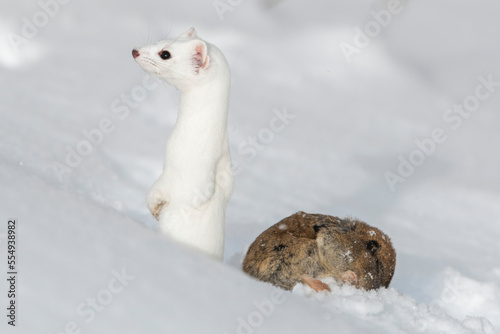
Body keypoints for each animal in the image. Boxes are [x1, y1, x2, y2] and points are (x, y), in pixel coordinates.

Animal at [133, 28, 234, 260]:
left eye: (165, 54)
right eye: (163, 39)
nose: (135, 51)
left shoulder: (181, 165)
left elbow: (161, 193)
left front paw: (155, 209)